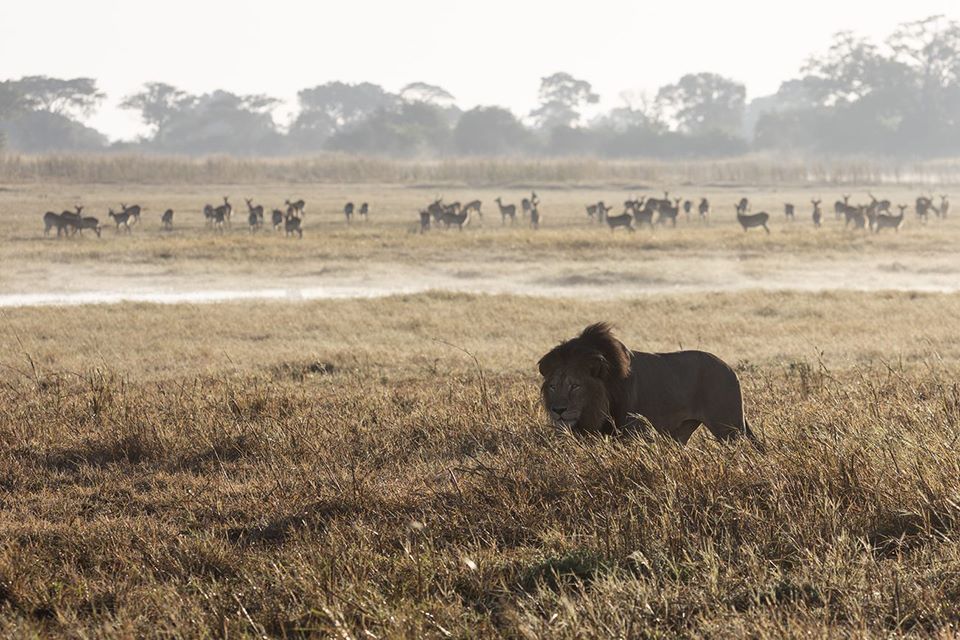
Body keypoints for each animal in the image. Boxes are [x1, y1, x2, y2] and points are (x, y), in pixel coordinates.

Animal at [540, 324, 756, 444]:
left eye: (575, 386)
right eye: (552, 386)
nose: (558, 410)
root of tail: (730, 370)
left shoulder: (633, 431)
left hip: (729, 429)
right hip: (683, 431)